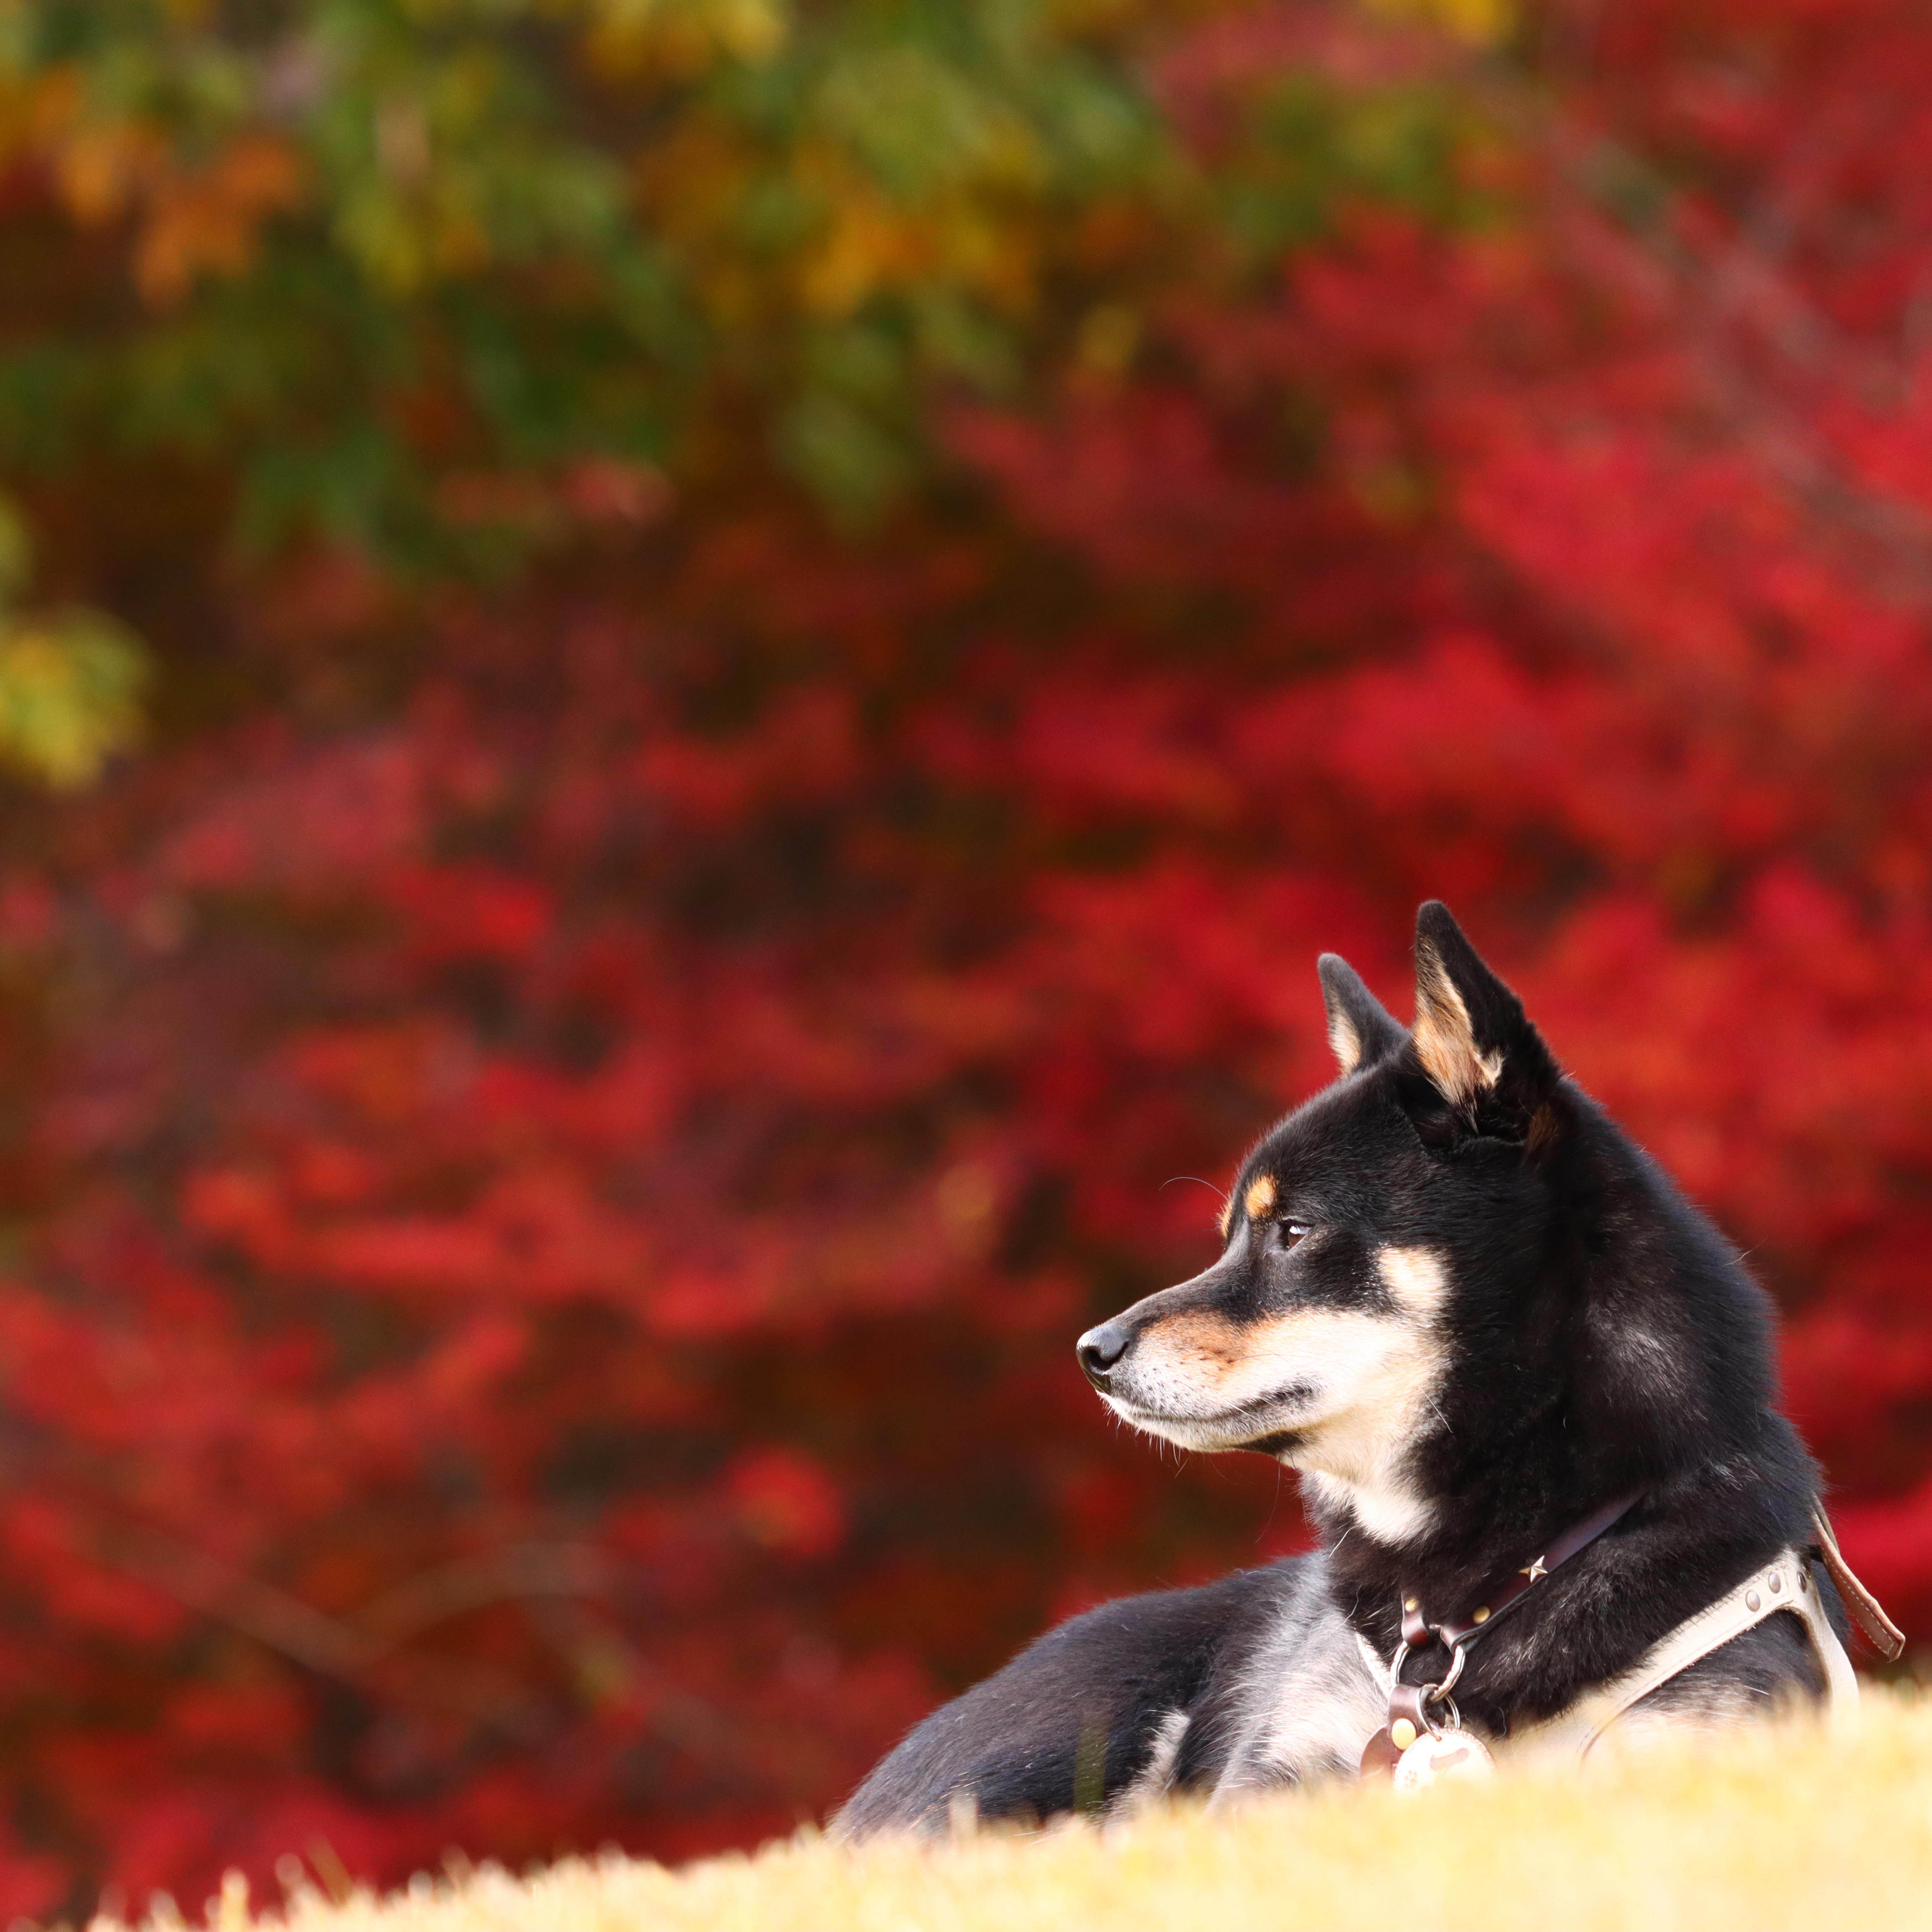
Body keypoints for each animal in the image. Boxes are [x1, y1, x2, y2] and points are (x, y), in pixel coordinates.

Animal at [838, 896, 1893, 1831]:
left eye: (1293, 1232)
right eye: (1231, 1235)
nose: (1091, 1352)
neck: (1468, 1595)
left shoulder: (1694, 1745)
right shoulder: (1279, 1773)